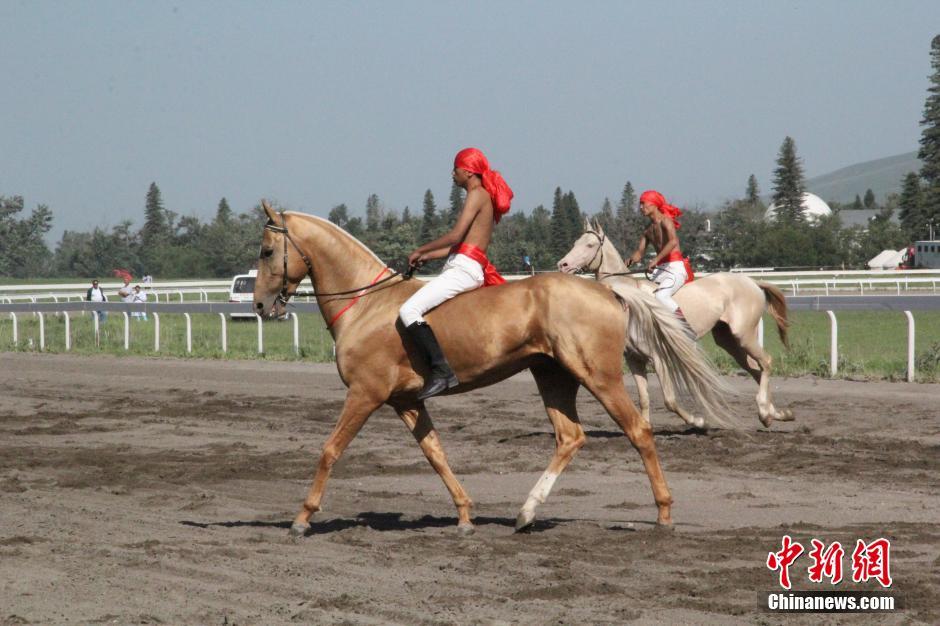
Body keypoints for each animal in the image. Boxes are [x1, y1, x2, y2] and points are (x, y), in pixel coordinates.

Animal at [250, 202, 728, 532]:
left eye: (267, 250)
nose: (259, 305)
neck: (365, 304)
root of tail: (608, 292)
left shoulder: (365, 394)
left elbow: (330, 449)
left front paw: (303, 517)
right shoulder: (405, 401)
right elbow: (436, 454)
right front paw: (464, 515)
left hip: (599, 376)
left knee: (639, 431)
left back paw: (663, 513)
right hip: (552, 376)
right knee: (570, 437)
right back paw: (526, 513)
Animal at [560, 217, 792, 426]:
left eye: (589, 245)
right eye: (575, 243)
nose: (562, 264)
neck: (629, 300)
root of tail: (752, 282)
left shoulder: (658, 357)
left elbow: (669, 400)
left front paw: (697, 421)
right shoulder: (635, 360)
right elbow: (643, 399)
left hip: (744, 335)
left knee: (766, 362)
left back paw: (765, 413)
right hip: (729, 342)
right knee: (756, 369)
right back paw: (778, 414)